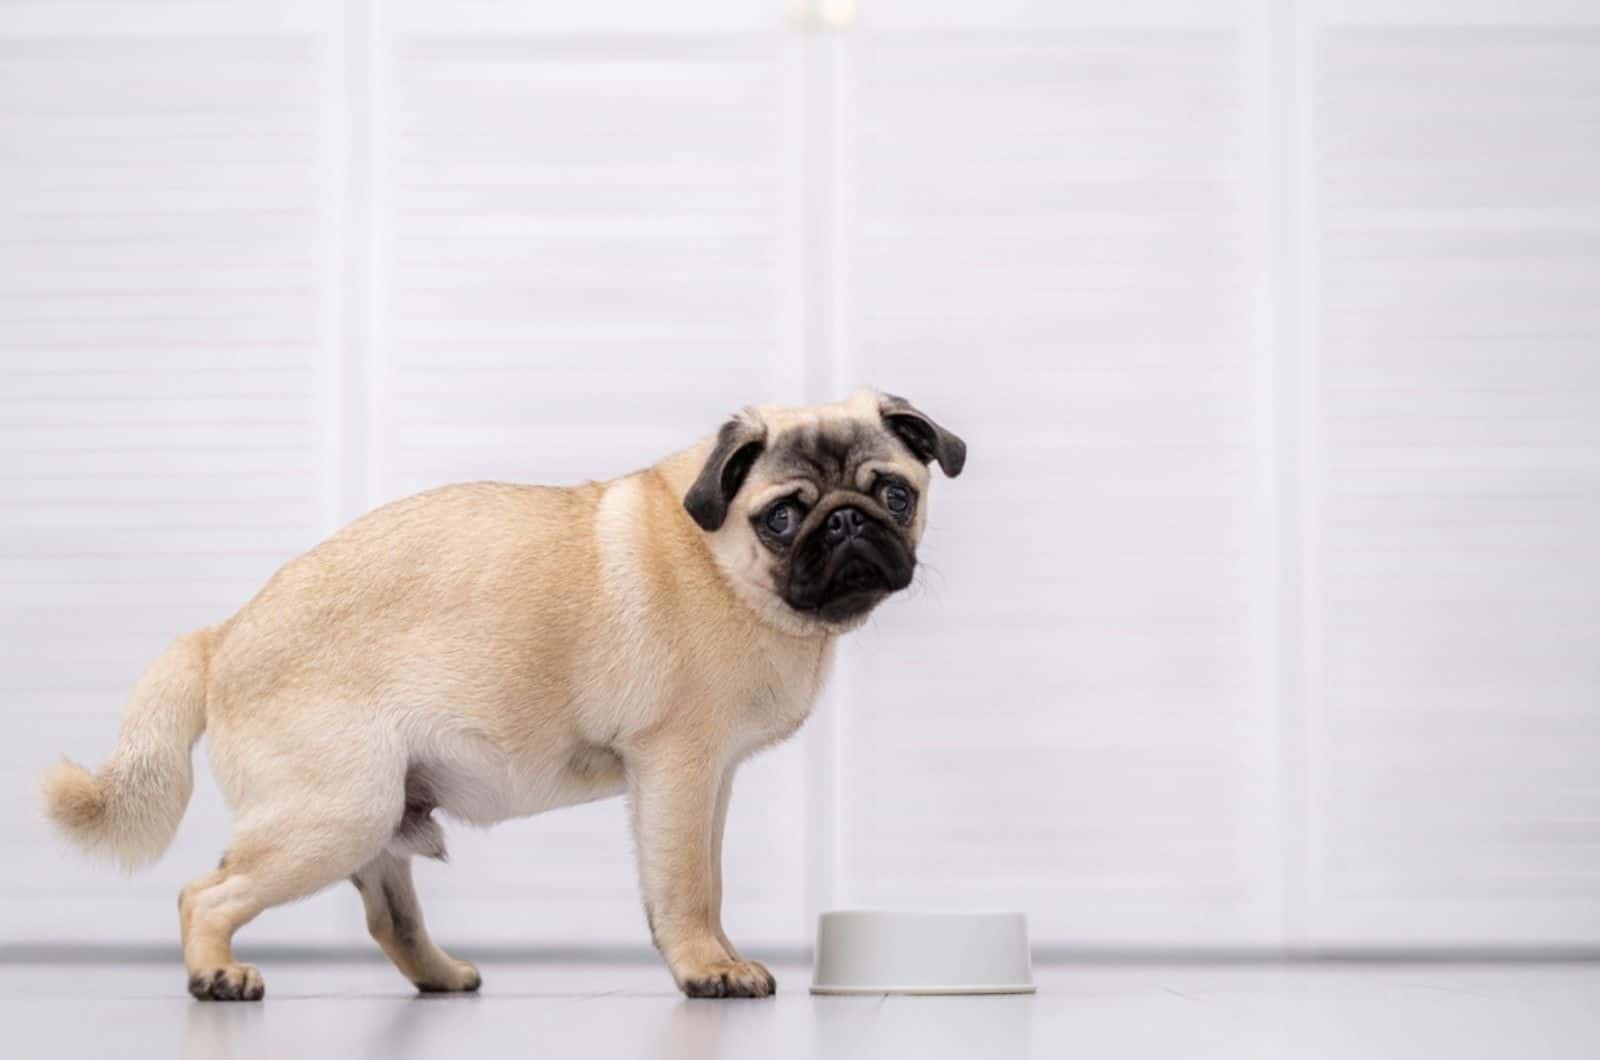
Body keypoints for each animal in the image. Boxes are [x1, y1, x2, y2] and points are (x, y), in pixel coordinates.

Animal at [40, 390, 960, 1005]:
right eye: (782, 517)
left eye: (896, 494)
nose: (847, 522)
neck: (726, 567)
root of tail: (220, 636)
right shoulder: (677, 770)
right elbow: (687, 884)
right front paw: (707, 967)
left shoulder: (712, 783)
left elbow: (712, 877)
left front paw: (718, 952)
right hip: (332, 815)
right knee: (206, 893)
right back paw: (215, 973)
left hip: (375, 813)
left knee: (389, 918)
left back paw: (442, 976)